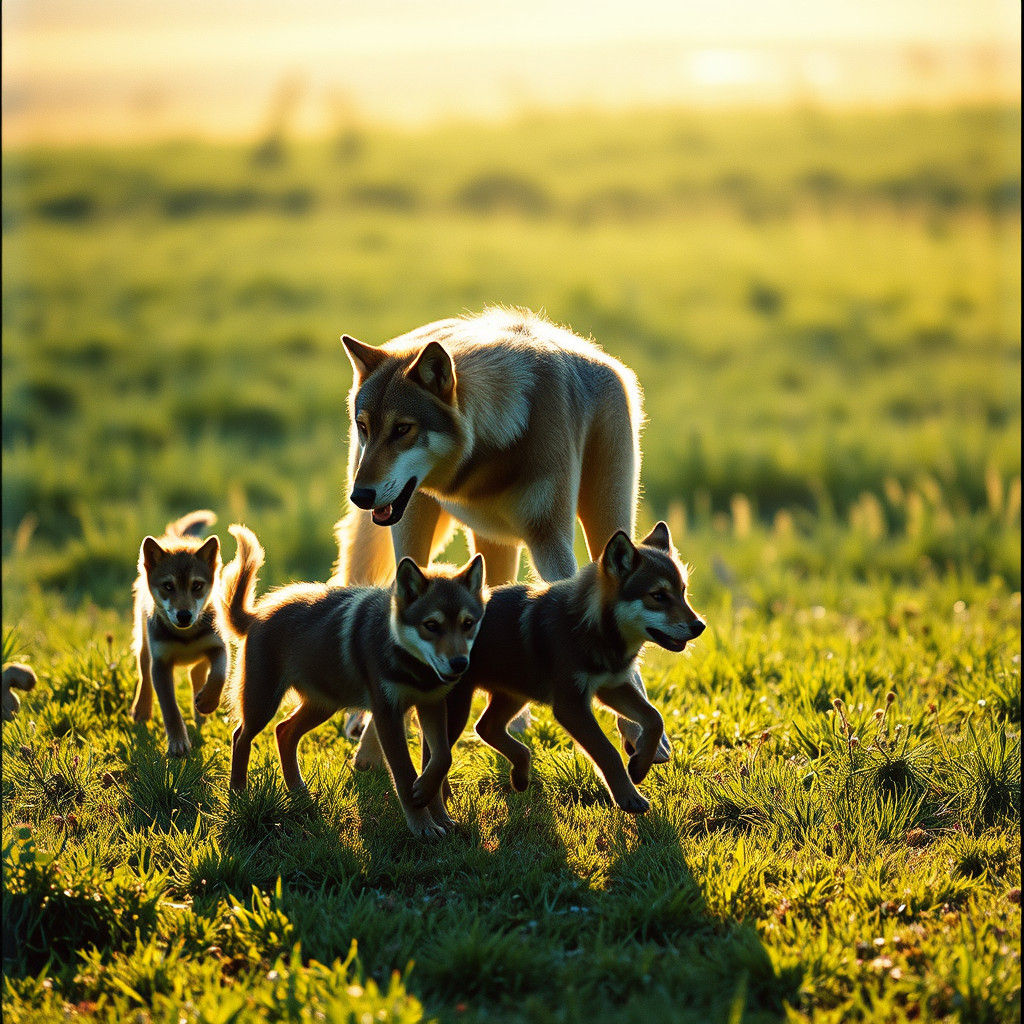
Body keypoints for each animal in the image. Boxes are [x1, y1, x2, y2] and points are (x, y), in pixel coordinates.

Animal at [131, 510, 228, 757]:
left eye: (197, 586)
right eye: (168, 586)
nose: (184, 615)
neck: (185, 637)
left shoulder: (218, 646)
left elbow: (219, 675)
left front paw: (207, 703)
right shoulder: (161, 663)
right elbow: (170, 709)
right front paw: (178, 744)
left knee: (197, 673)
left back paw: (199, 711)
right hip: (144, 644)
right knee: (144, 674)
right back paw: (141, 710)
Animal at [221, 524, 486, 839]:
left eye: (468, 623)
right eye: (431, 625)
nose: (460, 664)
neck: (406, 659)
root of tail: (256, 616)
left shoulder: (431, 705)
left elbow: (442, 757)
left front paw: (437, 810)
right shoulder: (387, 714)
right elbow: (404, 773)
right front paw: (423, 825)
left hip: (323, 704)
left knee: (284, 732)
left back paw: (299, 792)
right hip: (262, 701)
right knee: (241, 736)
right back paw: (238, 793)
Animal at [332, 307, 668, 763]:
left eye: (403, 429)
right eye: (365, 426)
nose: (361, 495)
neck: (491, 448)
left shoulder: (550, 540)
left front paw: (640, 734)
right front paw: (372, 755)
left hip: (597, 528)